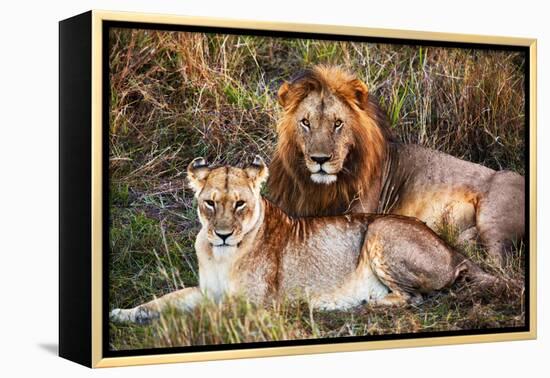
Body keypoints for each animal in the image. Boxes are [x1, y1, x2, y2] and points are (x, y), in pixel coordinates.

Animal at [110, 157, 502, 324]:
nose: (222, 234)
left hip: (378, 229)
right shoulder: (205, 290)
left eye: (239, 204)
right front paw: (124, 313)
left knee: (414, 298)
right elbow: (166, 299)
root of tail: (453, 251)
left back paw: (352, 304)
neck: (221, 255)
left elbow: (209, 313)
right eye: (210, 203)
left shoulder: (256, 304)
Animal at [270, 65, 528, 266]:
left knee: (499, 263)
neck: (320, 188)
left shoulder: (360, 211)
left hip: (494, 214)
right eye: (305, 122)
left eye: (338, 124)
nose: (320, 159)